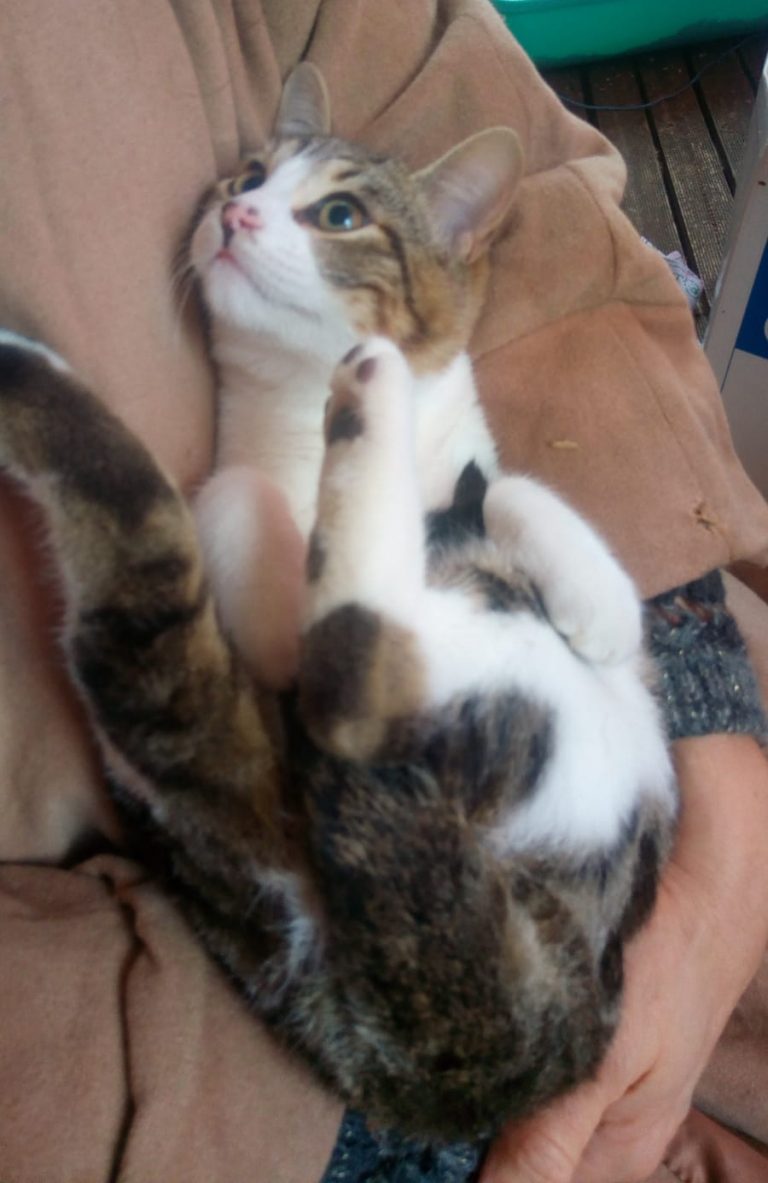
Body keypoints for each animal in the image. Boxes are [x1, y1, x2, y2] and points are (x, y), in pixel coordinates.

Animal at [0, 63, 676, 1142]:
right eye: (251, 173)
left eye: (341, 213)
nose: (234, 209)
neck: (301, 422)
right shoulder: (257, 512)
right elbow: (247, 515)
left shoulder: (462, 483)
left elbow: (507, 488)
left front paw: (603, 603)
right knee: (353, 673)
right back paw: (366, 416)